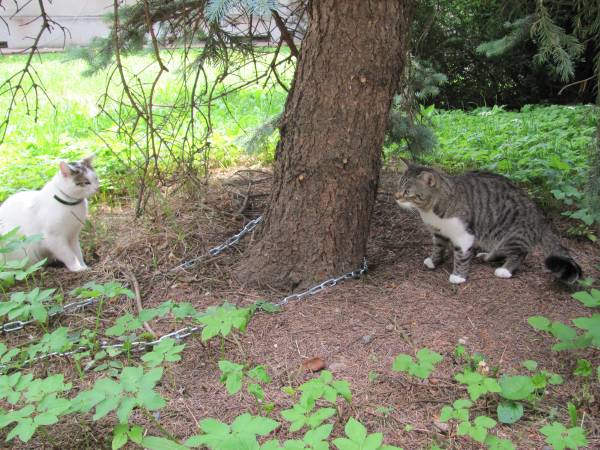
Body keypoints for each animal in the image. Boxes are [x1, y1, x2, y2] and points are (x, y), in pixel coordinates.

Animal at [394, 160, 582, 284]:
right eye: (398, 187)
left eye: (407, 192)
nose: (395, 197)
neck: (431, 211)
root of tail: (540, 216)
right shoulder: (439, 232)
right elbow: (438, 248)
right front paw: (434, 261)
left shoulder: (464, 235)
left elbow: (461, 256)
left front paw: (459, 276)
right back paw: (487, 256)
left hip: (513, 235)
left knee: (520, 252)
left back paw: (505, 270)